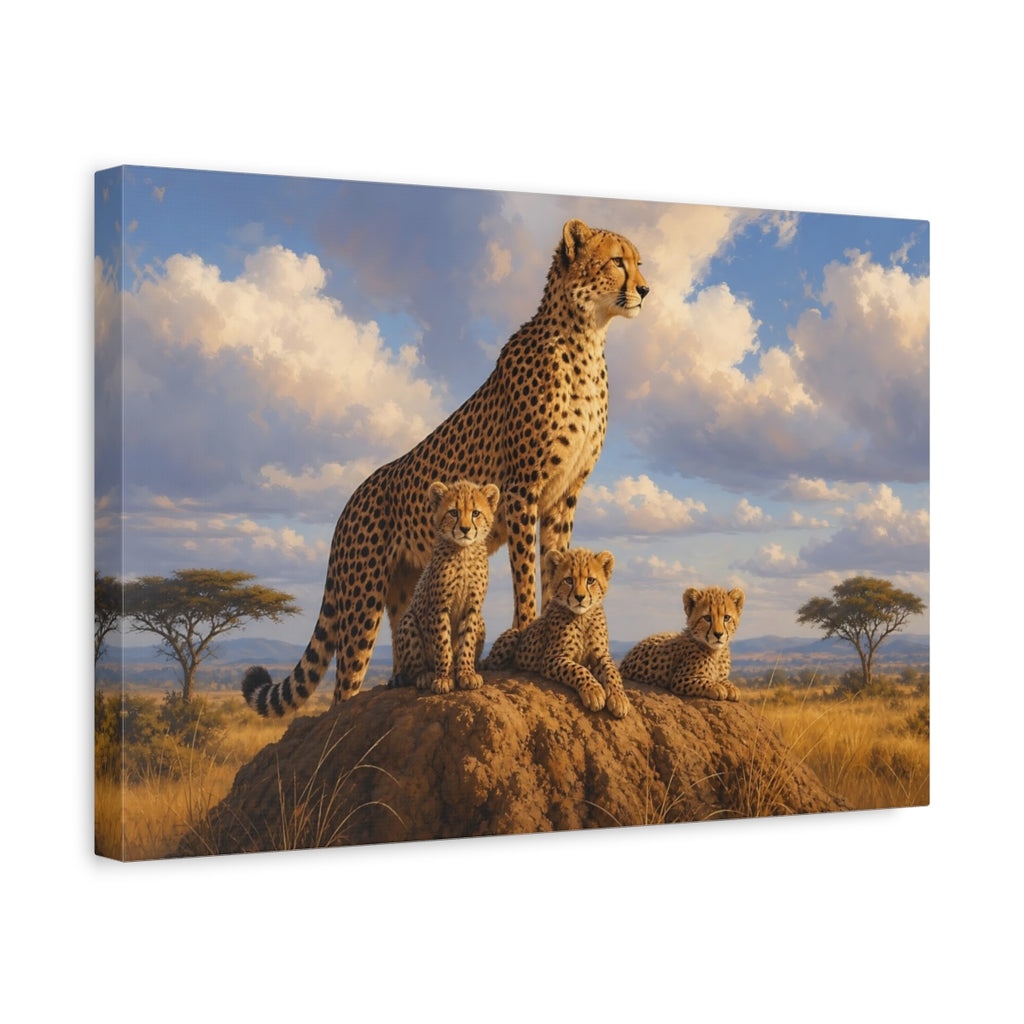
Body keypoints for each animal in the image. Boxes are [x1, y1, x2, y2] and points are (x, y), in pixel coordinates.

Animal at [385, 479, 499, 695]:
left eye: (476, 513)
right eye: (453, 512)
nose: (465, 529)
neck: (464, 551)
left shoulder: (472, 608)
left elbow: (467, 641)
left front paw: (466, 673)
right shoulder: (439, 607)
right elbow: (443, 644)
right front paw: (444, 678)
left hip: (481, 620)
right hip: (408, 620)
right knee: (414, 669)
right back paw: (426, 675)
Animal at [482, 547, 631, 718]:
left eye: (591, 580)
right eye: (569, 580)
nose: (580, 597)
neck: (582, 617)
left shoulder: (601, 655)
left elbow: (612, 672)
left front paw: (619, 698)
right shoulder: (552, 658)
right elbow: (579, 670)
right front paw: (594, 691)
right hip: (513, 635)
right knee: (491, 664)